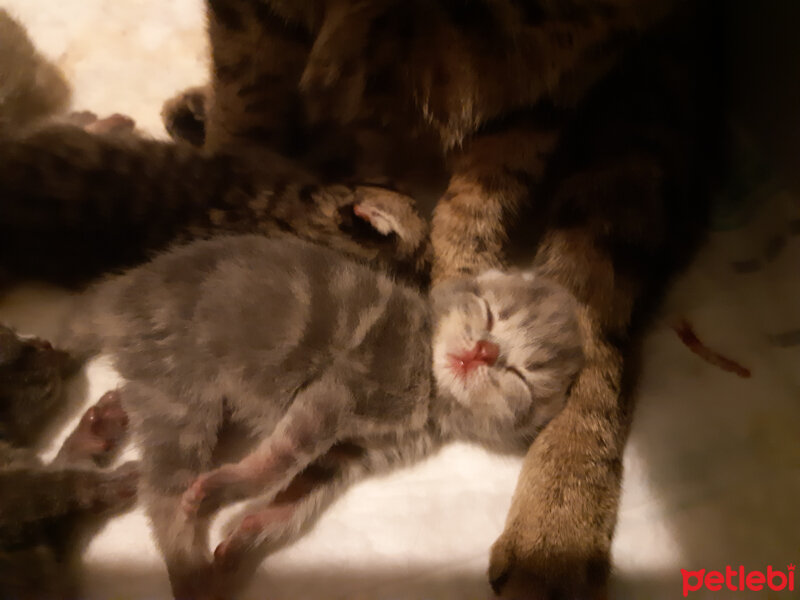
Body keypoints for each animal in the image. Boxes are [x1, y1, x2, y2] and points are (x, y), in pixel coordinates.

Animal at [57, 236, 580, 600]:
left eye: (520, 374)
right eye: (491, 314)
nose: (484, 351)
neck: (432, 390)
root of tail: (116, 297)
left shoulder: (350, 454)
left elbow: (299, 495)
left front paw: (244, 534)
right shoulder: (342, 387)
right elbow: (281, 457)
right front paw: (226, 489)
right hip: (181, 390)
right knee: (161, 496)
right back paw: (193, 576)